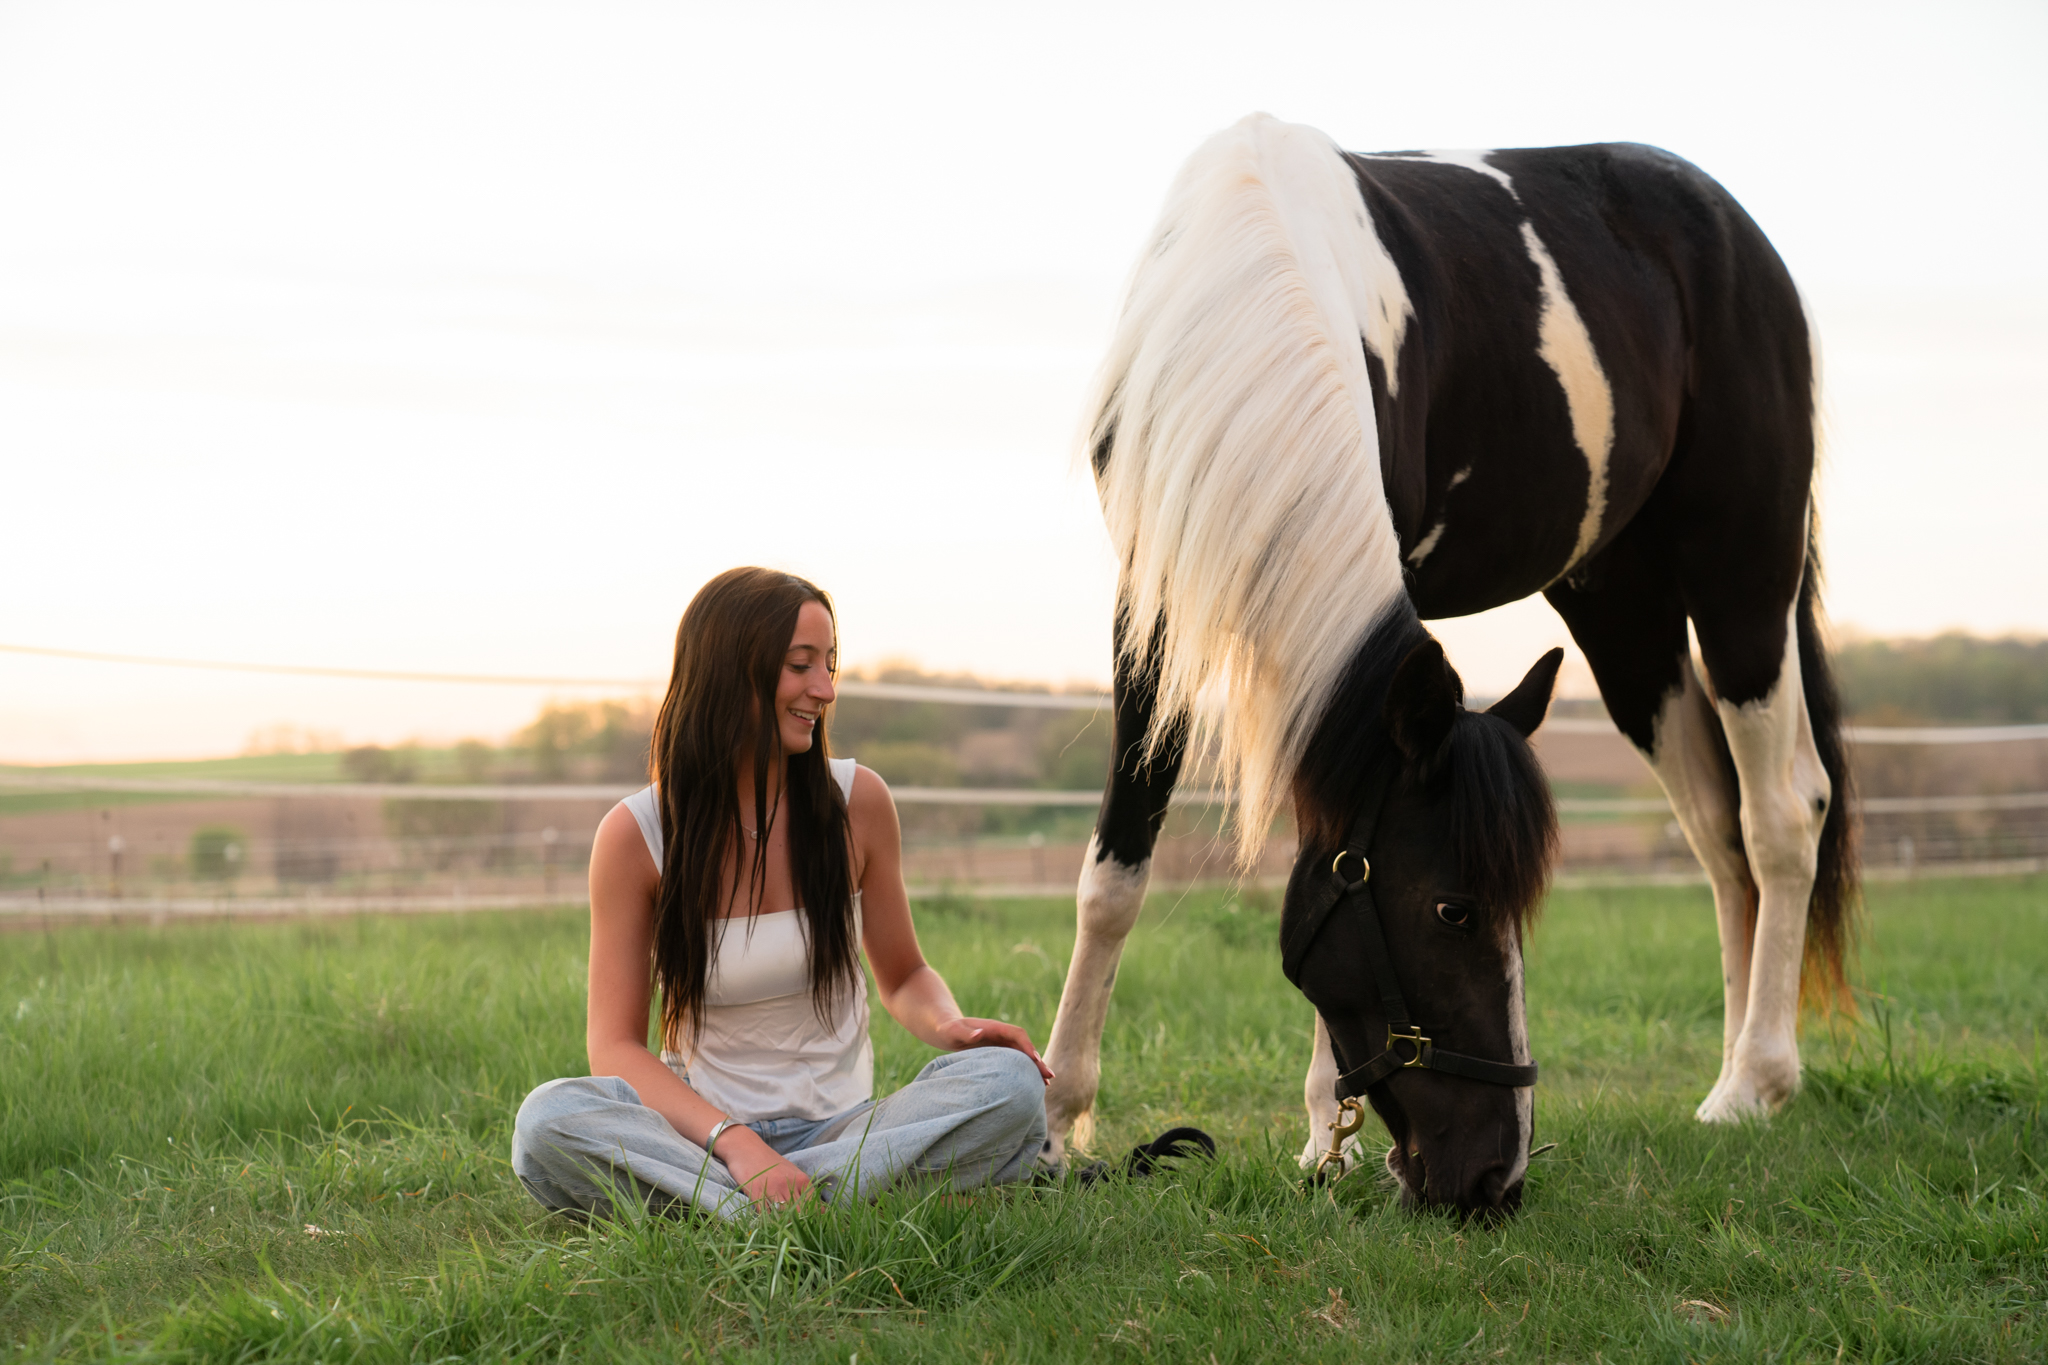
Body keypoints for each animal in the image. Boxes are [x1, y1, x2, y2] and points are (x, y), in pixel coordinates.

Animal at [1039, 114, 1857, 1218]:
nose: (1494, 1177)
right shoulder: (1151, 600)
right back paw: (1727, 1071)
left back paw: (1755, 1084)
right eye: (1453, 910)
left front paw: (1322, 1139)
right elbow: (1115, 871)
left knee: (1780, 812)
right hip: (1624, 608)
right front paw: (1055, 1125)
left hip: (1743, 572)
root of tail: (1732, 230)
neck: (1251, 273)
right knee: (1717, 829)